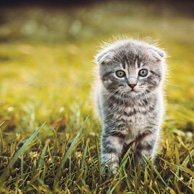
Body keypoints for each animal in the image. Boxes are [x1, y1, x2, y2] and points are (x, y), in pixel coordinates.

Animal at [93, 38, 165, 174]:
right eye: (120, 73)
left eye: (143, 72)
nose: (132, 84)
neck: (133, 107)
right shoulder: (112, 129)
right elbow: (110, 152)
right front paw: (109, 175)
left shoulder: (149, 130)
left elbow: (144, 153)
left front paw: (142, 172)